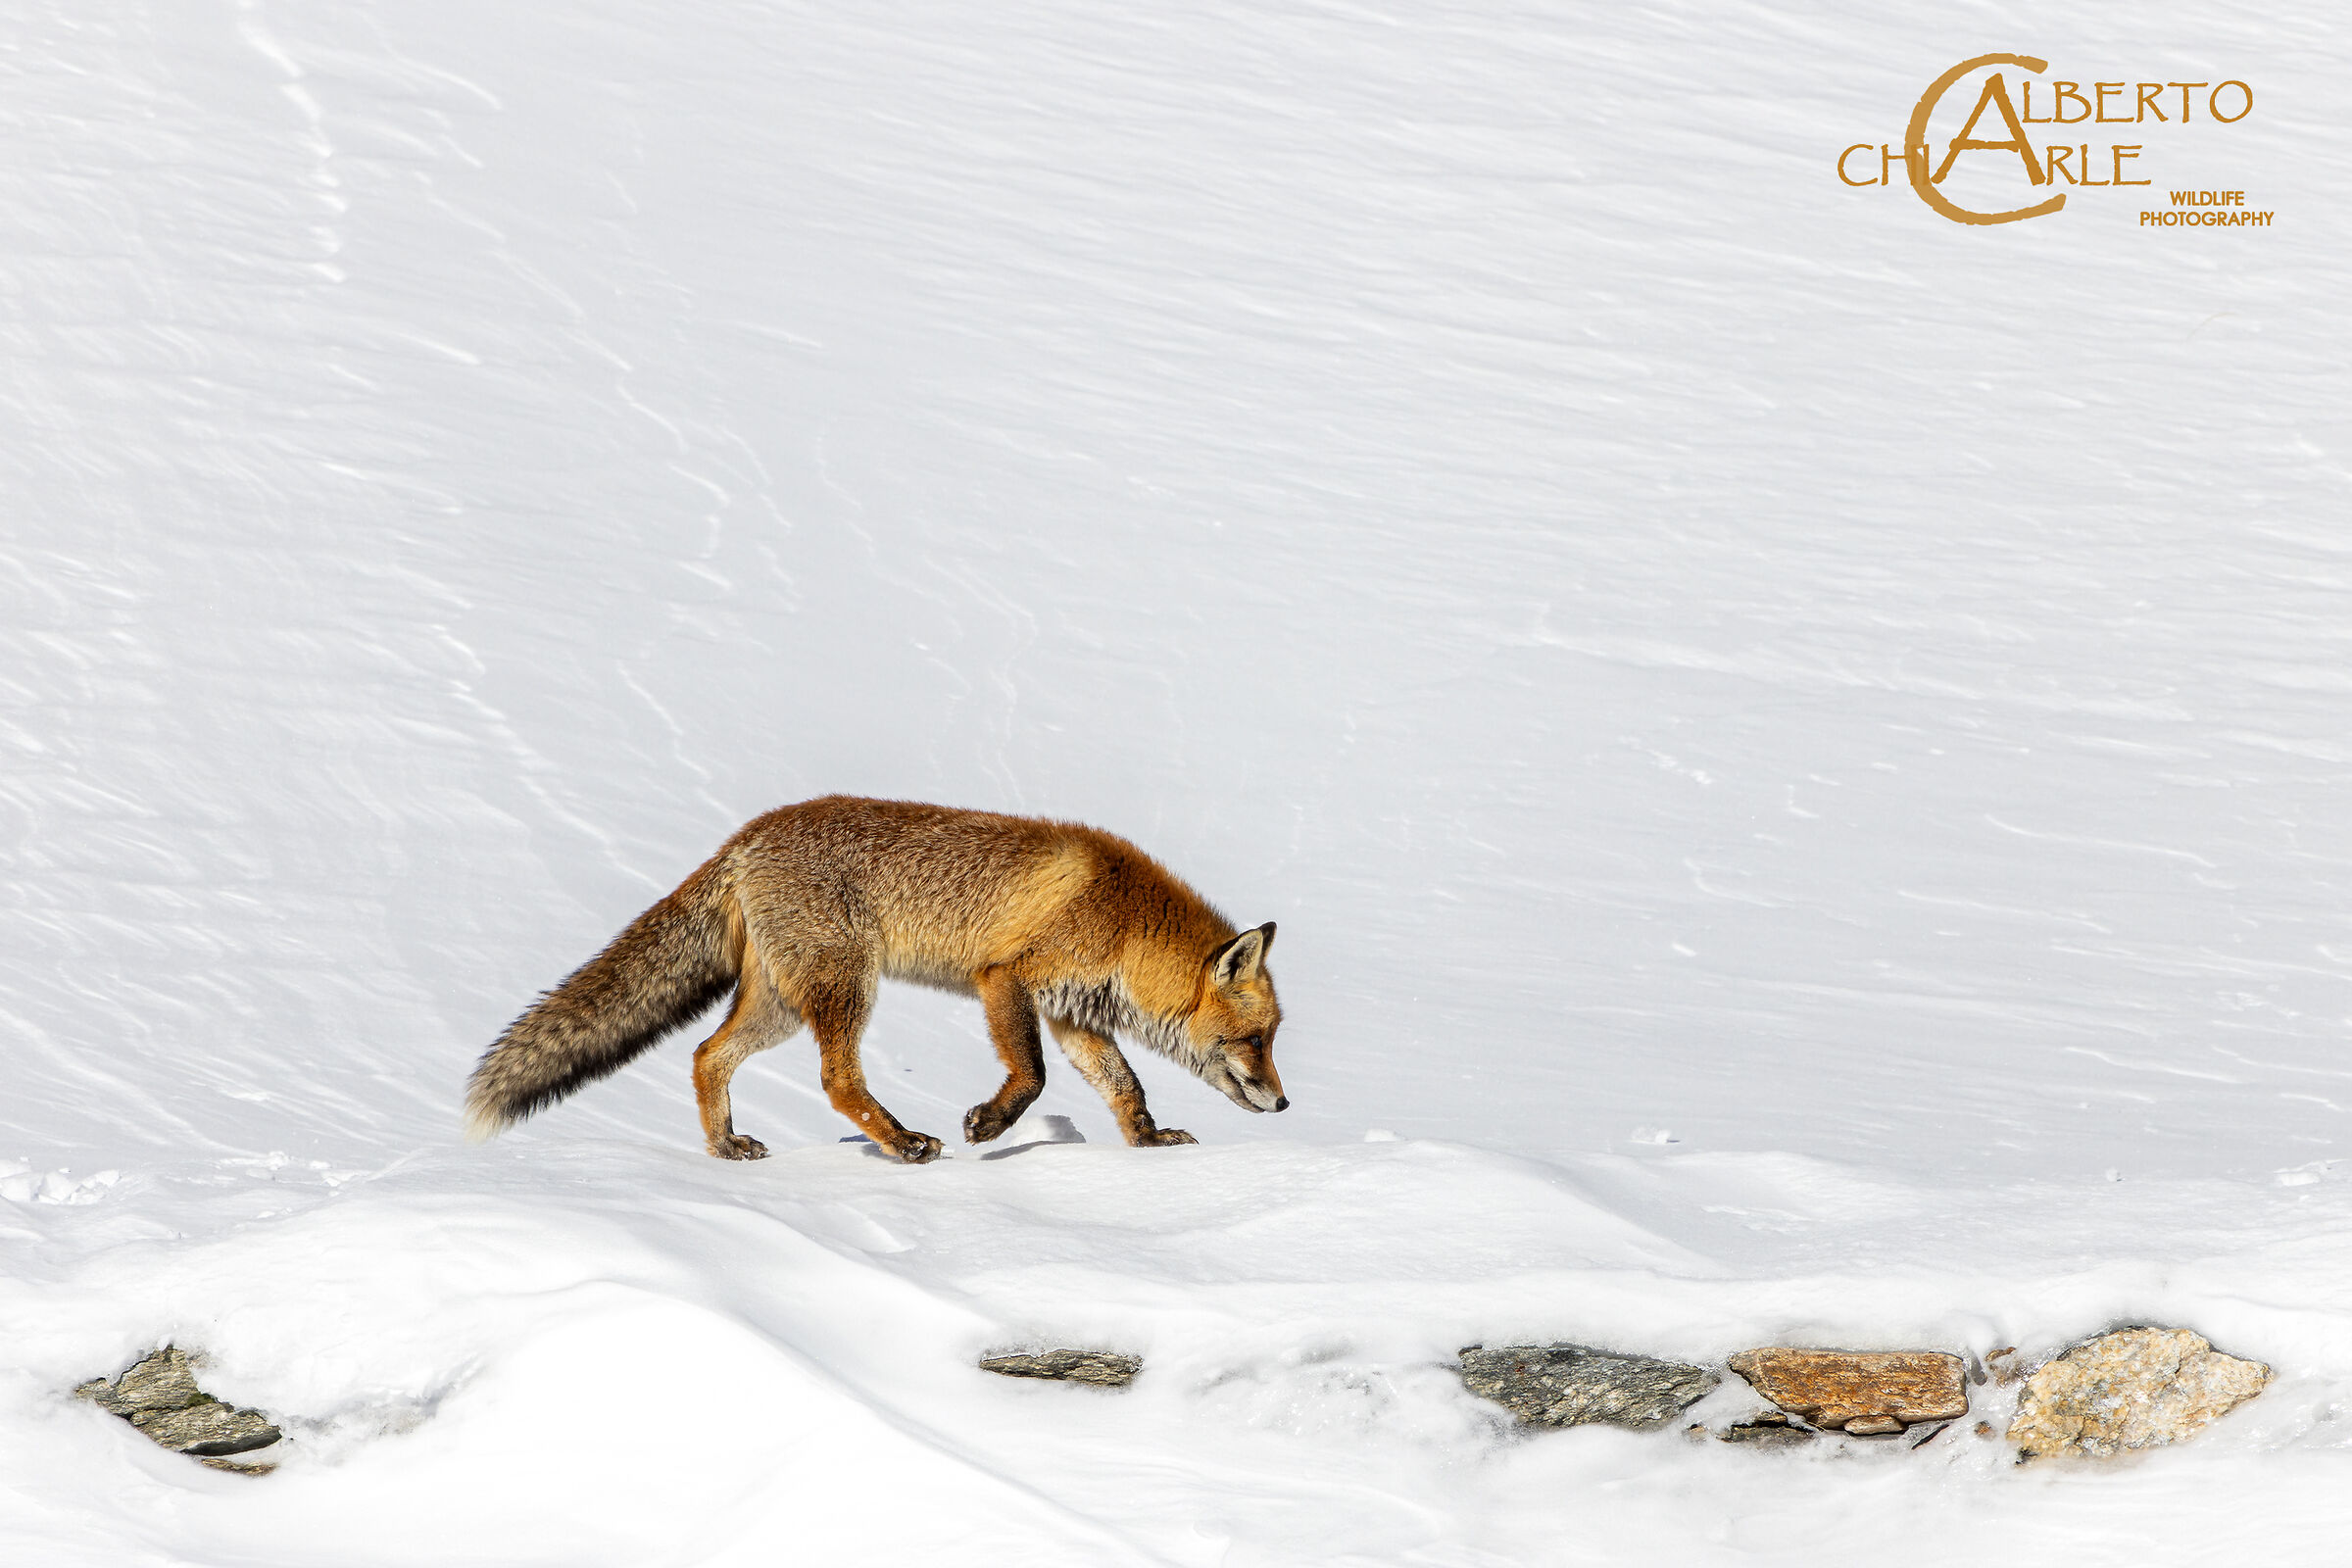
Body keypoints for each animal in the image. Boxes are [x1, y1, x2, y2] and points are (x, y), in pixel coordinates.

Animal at [463, 795, 1286, 1162]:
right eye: (1255, 1039)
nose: (1282, 1103)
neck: (1123, 919)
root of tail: (746, 835)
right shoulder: (1005, 978)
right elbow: (1031, 1076)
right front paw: (990, 1126)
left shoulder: (1074, 1014)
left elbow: (1124, 1085)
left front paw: (1149, 1144)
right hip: (845, 986)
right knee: (836, 1081)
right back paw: (901, 1142)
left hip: (782, 1004)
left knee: (706, 1055)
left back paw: (725, 1147)